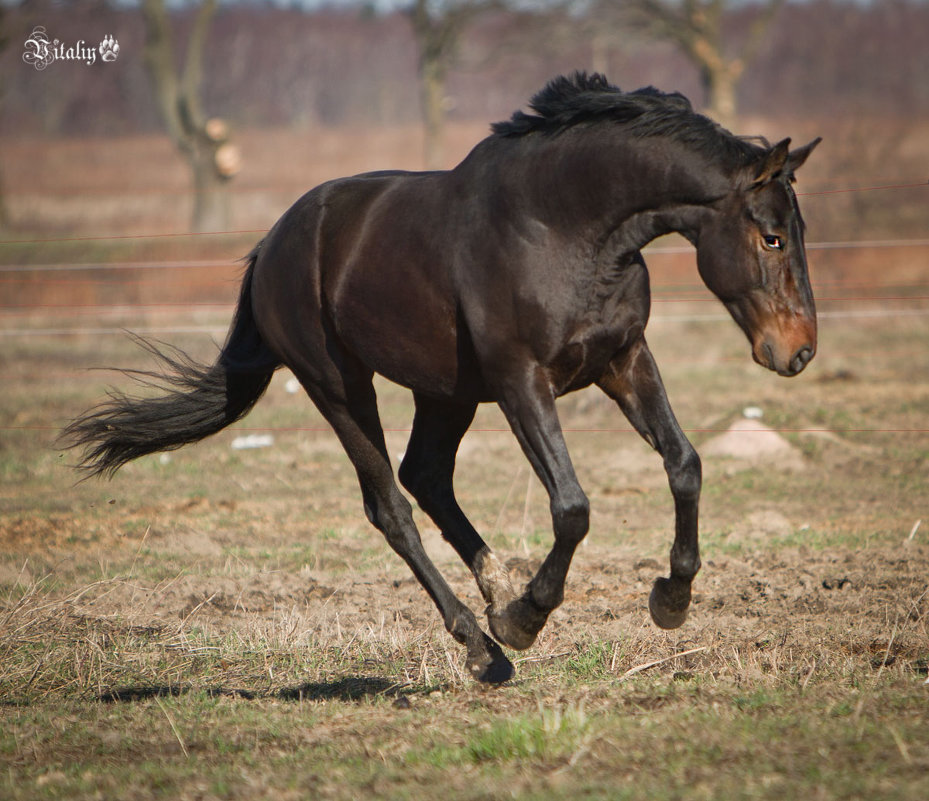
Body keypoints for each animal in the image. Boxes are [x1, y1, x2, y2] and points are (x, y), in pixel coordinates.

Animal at [65, 73, 820, 680]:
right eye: (771, 236)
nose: (799, 351)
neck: (563, 225)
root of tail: (271, 245)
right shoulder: (521, 382)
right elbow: (572, 507)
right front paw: (525, 618)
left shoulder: (623, 359)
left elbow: (684, 463)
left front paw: (670, 598)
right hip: (339, 386)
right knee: (391, 507)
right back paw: (484, 645)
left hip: (444, 392)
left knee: (424, 476)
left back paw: (495, 591)